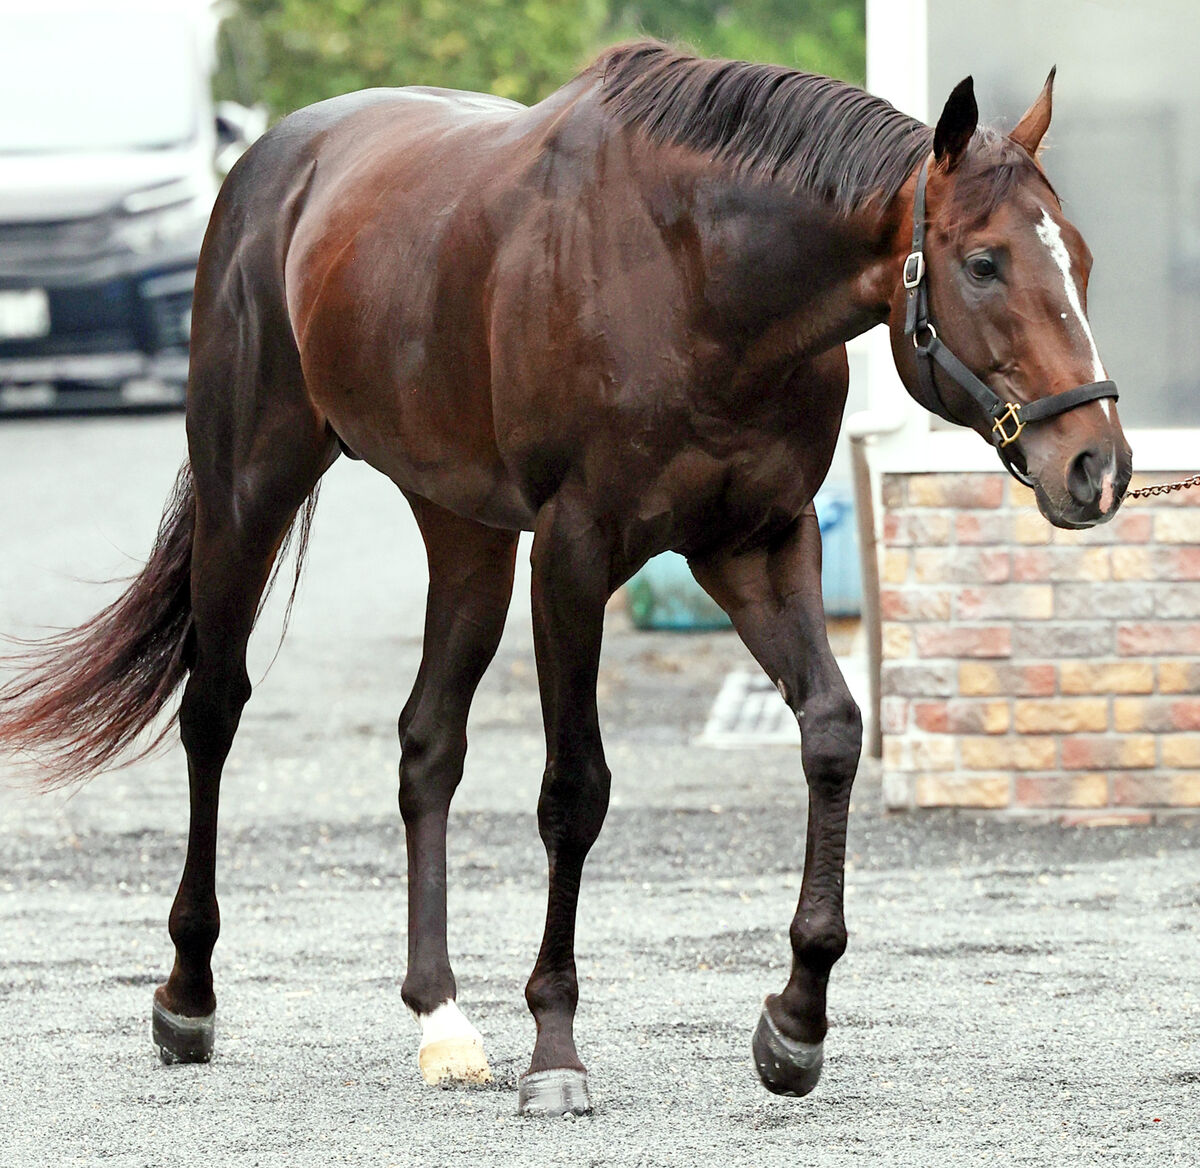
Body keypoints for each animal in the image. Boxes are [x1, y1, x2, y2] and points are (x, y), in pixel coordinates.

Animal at [0, 38, 1123, 1113]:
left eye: (1082, 260)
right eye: (984, 263)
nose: (1097, 465)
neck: (696, 277)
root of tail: (271, 161)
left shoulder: (757, 542)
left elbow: (833, 733)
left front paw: (795, 1026)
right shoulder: (575, 554)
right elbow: (575, 788)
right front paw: (556, 1048)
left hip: (463, 532)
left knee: (427, 744)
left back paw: (442, 1020)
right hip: (249, 490)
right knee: (213, 713)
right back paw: (188, 999)